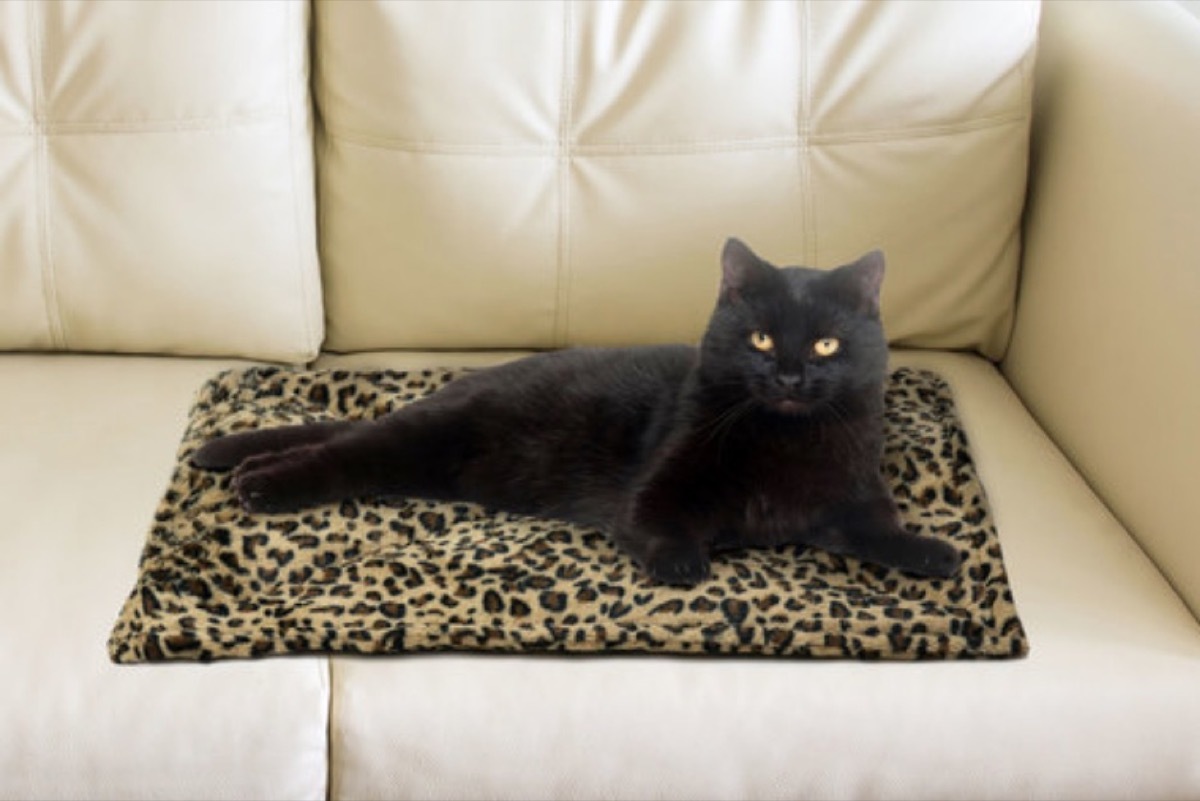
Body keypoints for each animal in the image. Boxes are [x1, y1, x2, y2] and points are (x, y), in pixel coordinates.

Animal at [196, 236, 964, 582]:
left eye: (828, 343)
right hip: (421, 438)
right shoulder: (656, 493)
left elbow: (878, 530)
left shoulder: (849, 496)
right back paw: (256, 482)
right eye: (761, 337)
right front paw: (686, 565)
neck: (784, 442)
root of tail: (456, 386)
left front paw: (934, 553)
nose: (789, 372)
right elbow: (665, 528)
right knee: (338, 454)